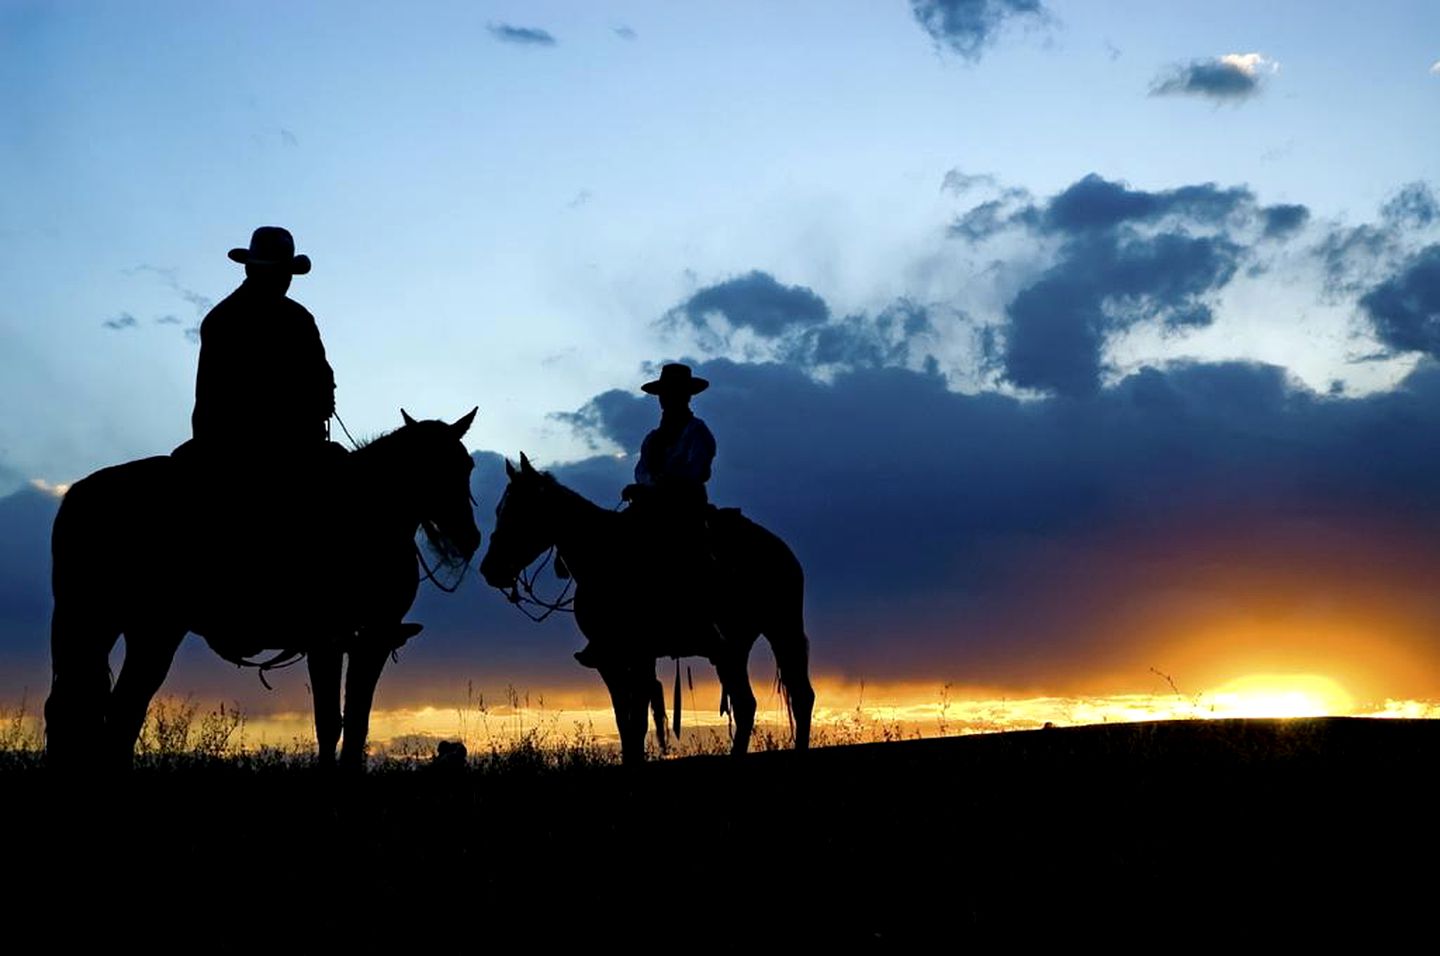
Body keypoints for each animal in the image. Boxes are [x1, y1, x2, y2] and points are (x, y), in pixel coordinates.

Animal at [43, 408, 483, 771]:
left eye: (467, 465)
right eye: (428, 466)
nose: (470, 537)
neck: (369, 514)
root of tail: (80, 494)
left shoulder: (364, 639)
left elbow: (355, 719)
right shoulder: (337, 638)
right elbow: (334, 720)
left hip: (116, 626)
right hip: (145, 629)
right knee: (110, 711)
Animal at [480, 454, 812, 760]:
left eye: (520, 510)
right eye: (498, 510)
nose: (490, 569)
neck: (605, 560)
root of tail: (781, 549)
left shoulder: (641, 653)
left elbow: (638, 721)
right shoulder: (609, 660)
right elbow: (624, 723)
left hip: (782, 630)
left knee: (800, 696)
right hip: (732, 648)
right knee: (746, 704)